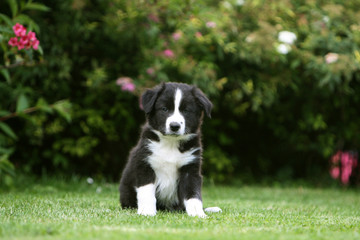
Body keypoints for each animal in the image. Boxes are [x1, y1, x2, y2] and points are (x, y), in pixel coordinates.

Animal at [119, 82, 219, 218]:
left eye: (186, 110)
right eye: (164, 109)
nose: (174, 126)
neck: (170, 144)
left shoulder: (190, 169)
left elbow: (193, 194)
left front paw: (197, 212)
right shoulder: (145, 165)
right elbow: (146, 192)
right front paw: (147, 211)